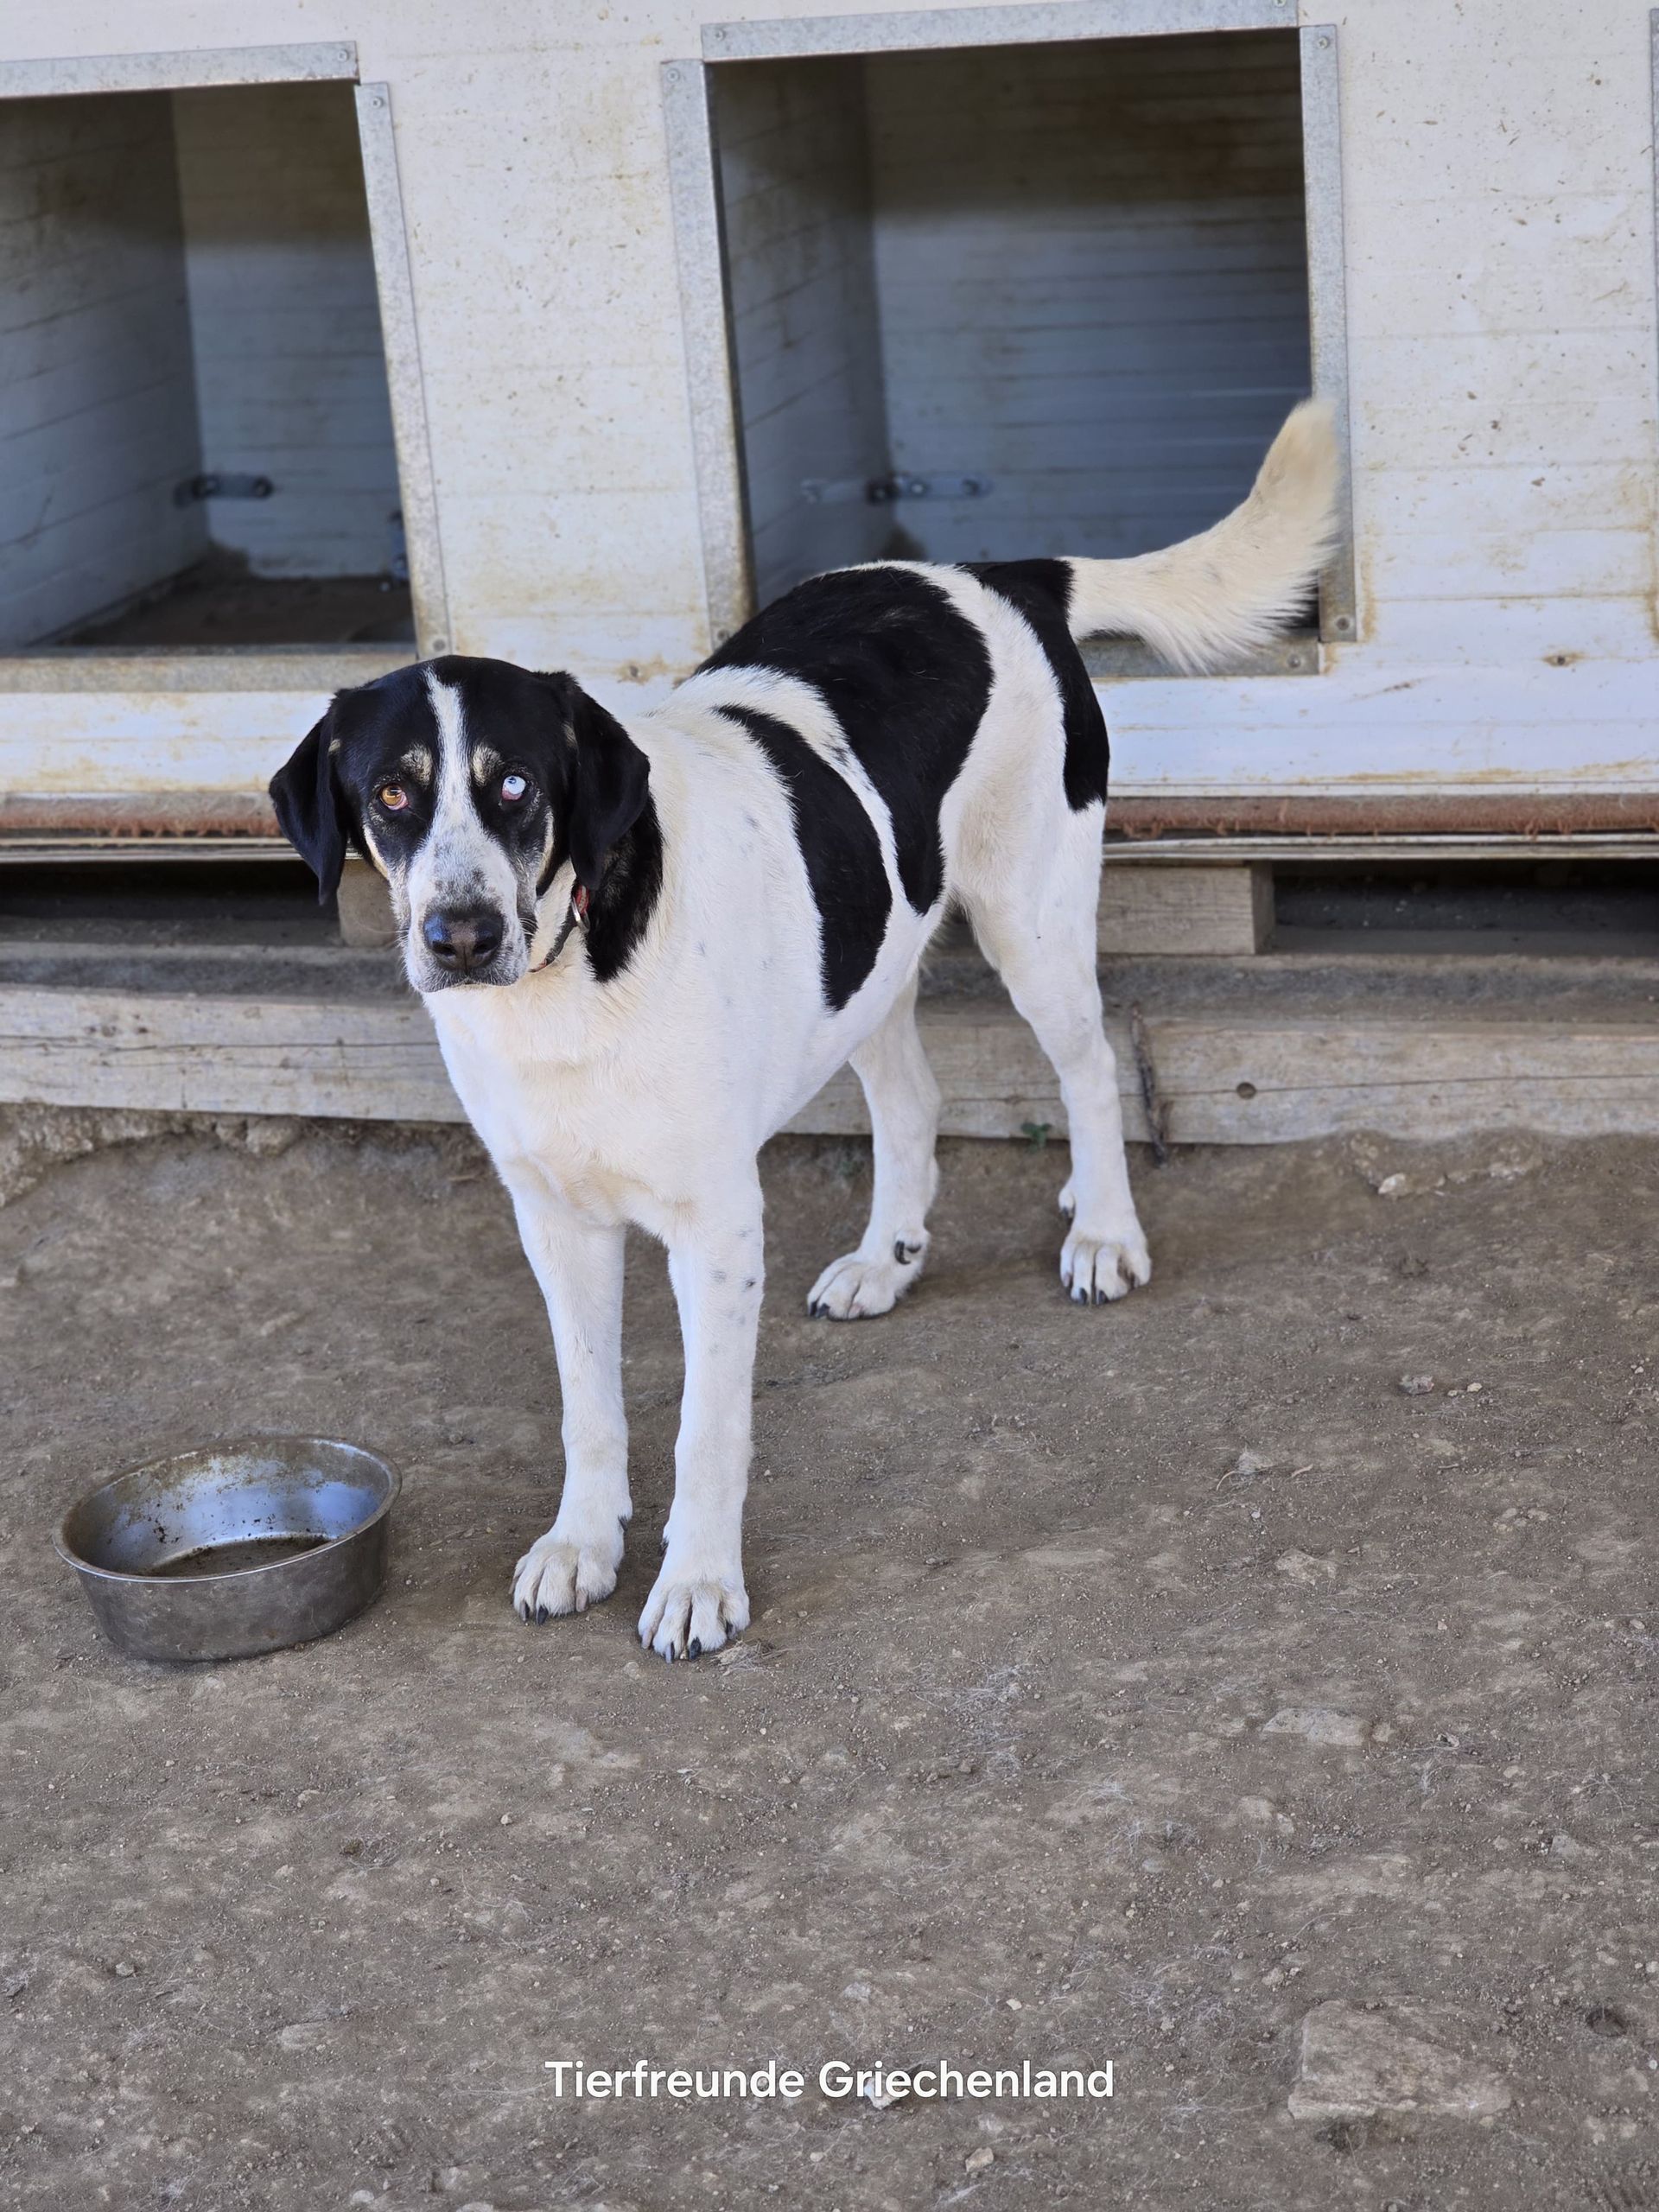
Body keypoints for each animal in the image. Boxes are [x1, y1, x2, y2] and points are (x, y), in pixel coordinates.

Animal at [270, 401, 1337, 1659]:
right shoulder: (556, 1222)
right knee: (914, 1101)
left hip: (1031, 921)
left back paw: (1103, 1230)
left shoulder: (717, 1228)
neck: (570, 977)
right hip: (868, 960)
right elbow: (588, 1407)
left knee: (1086, 1065)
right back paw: (890, 1256)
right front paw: (582, 1544)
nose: (461, 934)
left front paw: (695, 1582)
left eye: (518, 783)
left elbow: (704, 1428)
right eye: (389, 794)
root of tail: (998, 576)